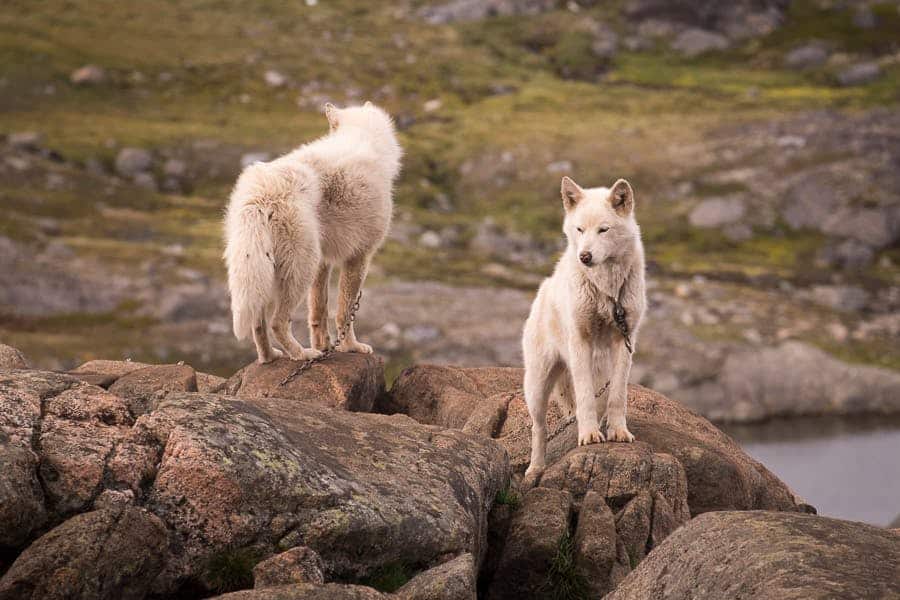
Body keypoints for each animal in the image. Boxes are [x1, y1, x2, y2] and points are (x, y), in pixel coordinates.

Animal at [223, 101, 402, 364]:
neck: (363, 136)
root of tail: (262, 193)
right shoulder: (358, 257)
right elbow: (344, 312)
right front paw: (350, 347)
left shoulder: (324, 262)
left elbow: (318, 312)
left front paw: (325, 346)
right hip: (300, 270)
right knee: (277, 323)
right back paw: (301, 354)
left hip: (268, 272)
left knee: (259, 324)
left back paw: (270, 357)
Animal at [520, 176, 648, 480]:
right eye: (580, 229)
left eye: (604, 229)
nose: (585, 257)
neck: (607, 290)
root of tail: (543, 290)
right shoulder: (580, 342)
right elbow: (585, 397)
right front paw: (589, 436)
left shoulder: (625, 341)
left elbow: (618, 396)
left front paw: (618, 431)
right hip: (537, 386)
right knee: (539, 428)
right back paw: (535, 468)